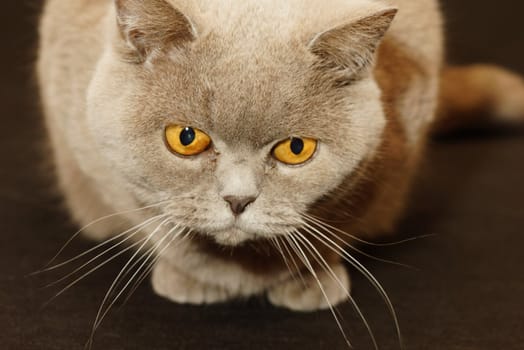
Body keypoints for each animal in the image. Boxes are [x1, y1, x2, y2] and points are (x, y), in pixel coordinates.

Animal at [37, 0, 524, 318]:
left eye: (295, 148)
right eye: (186, 138)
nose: (238, 200)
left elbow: (338, 220)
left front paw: (309, 279)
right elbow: (154, 217)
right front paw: (200, 277)